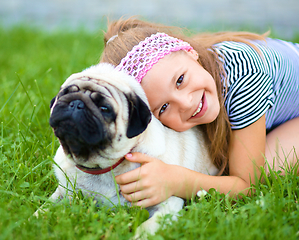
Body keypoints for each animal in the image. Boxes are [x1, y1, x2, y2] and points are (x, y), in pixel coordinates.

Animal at [46, 63, 218, 238]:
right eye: (64, 94)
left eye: (104, 108)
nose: (76, 102)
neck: (99, 168)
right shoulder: (63, 193)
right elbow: (45, 208)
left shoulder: (168, 203)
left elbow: (147, 226)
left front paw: (138, 236)